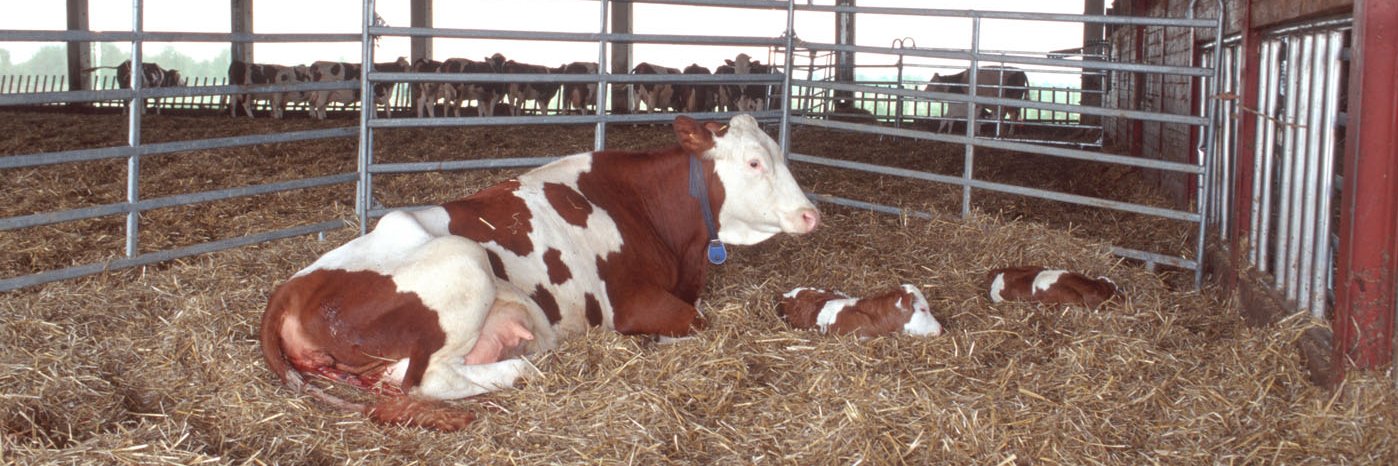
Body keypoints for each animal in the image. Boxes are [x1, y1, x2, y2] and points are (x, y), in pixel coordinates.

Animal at [260, 113, 821, 431]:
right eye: (753, 163)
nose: (811, 214)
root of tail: (289, 289)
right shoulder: (634, 304)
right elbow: (699, 324)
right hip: (463, 262)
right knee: (425, 381)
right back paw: (517, 368)